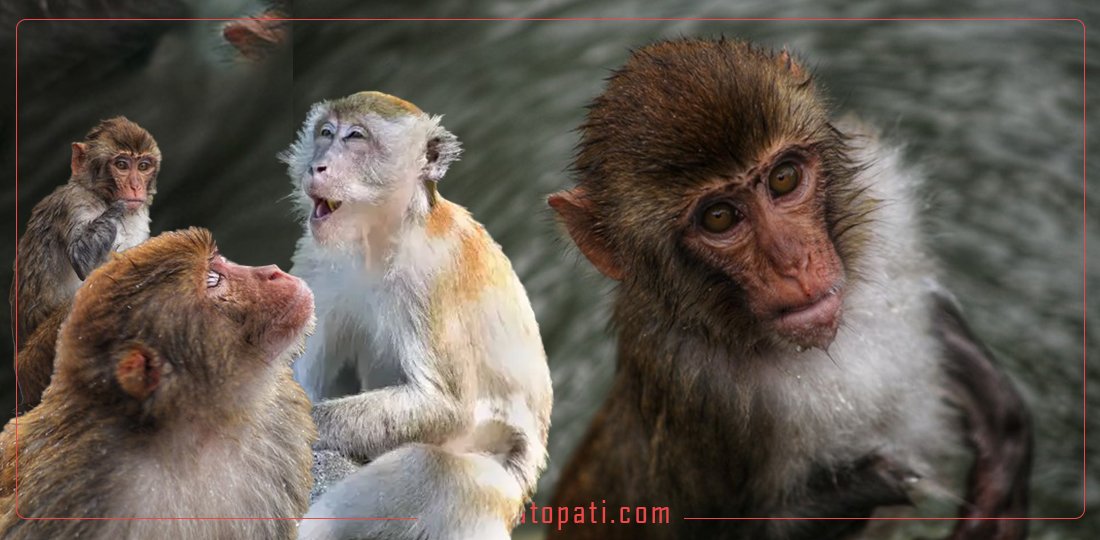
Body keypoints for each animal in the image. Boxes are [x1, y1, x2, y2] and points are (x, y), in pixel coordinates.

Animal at [10, 116, 160, 409]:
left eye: (143, 166)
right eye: (121, 165)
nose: (135, 187)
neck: (100, 195)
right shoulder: (75, 203)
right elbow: (83, 257)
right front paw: (118, 207)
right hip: (34, 365)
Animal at [281, 91, 553, 539]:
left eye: (355, 137)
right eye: (325, 133)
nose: (315, 166)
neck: (377, 242)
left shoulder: (430, 274)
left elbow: (444, 406)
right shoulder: (316, 255)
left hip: (491, 492)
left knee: (429, 468)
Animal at [547, 38, 1031, 540]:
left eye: (783, 178)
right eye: (718, 217)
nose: (794, 262)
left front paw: (1003, 437)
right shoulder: (698, 395)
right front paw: (872, 483)